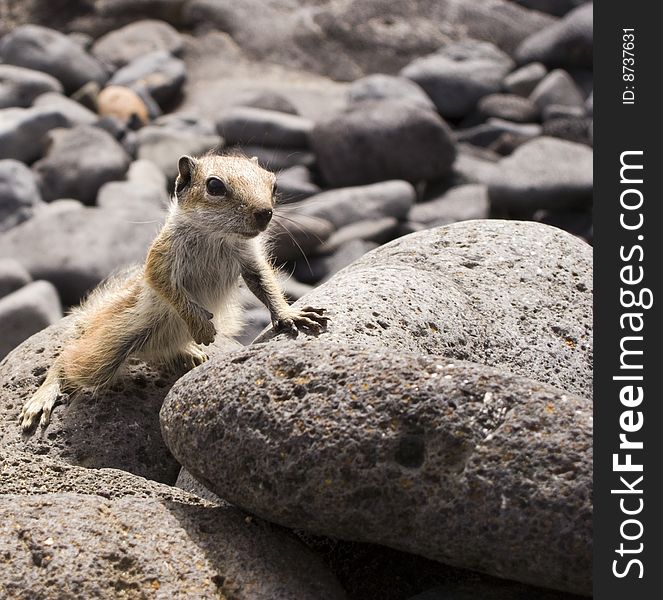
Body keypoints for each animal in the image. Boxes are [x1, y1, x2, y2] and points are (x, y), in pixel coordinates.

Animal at [21, 152, 330, 428]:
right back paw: (43, 396)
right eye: (214, 186)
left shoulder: (250, 259)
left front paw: (290, 315)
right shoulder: (161, 260)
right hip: (108, 346)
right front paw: (201, 327)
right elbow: (168, 289)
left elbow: (264, 284)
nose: (265, 213)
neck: (216, 237)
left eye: (273, 184)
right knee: (69, 358)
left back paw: (188, 352)